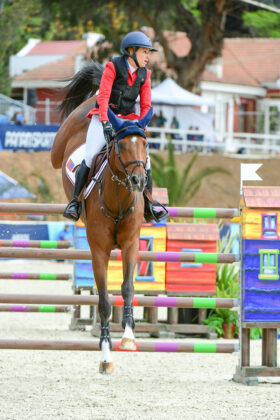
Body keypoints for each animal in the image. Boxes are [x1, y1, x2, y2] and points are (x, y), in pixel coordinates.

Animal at [49, 60, 152, 372]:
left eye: (145, 145)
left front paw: (128, 337)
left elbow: (128, 289)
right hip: (60, 144)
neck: (118, 200)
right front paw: (106, 355)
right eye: (122, 145)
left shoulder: (130, 245)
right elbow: (105, 301)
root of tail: (94, 101)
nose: (138, 181)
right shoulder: (98, 251)